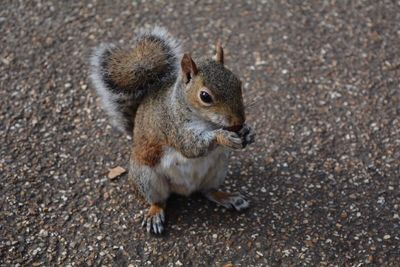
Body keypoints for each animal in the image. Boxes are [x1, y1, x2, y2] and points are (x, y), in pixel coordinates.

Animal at [89, 26, 255, 234]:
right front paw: (223, 136)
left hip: (218, 168)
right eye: (205, 96)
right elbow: (190, 147)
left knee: (208, 191)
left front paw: (248, 132)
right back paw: (154, 214)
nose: (239, 121)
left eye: (238, 83)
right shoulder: (172, 126)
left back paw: (227, 197)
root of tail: (186, 190)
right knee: (159, 200)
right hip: (147, 178)